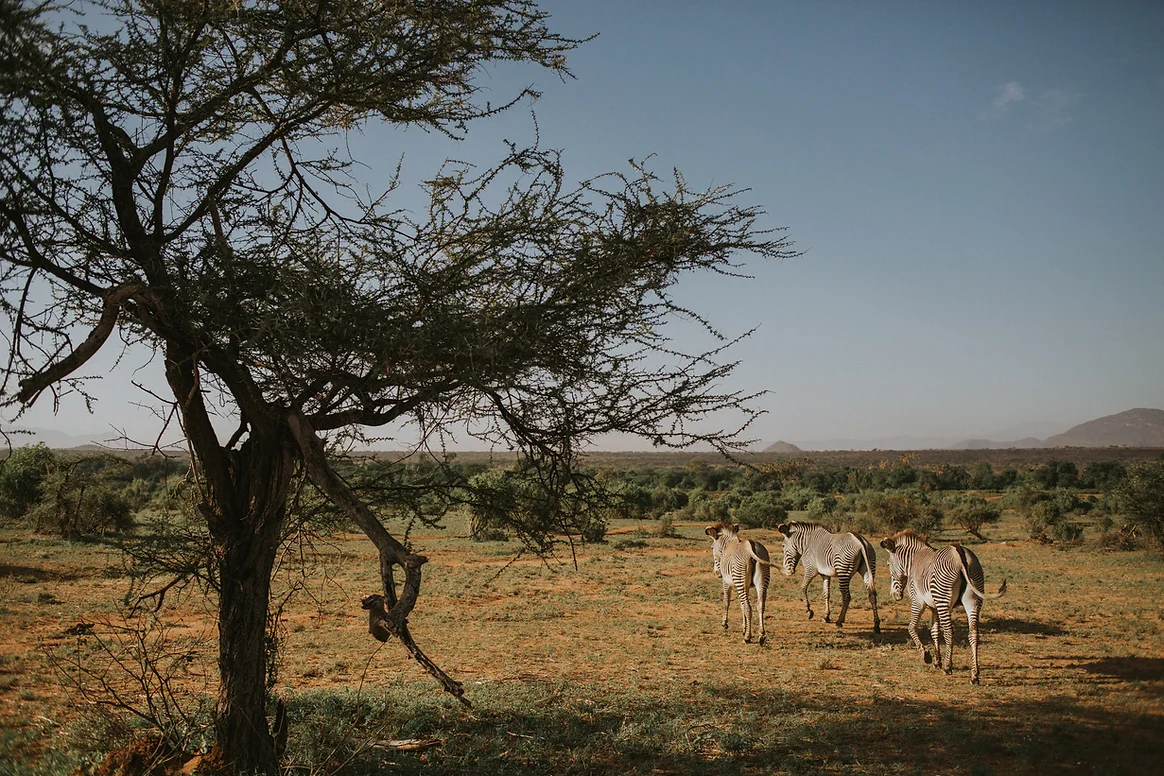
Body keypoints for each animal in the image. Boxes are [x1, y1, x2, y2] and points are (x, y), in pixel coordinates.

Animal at [875, 528, 1005, 684]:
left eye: (888, 565)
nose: (894, 595)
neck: (913, 560)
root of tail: (959, 551)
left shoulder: (918, 601)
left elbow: (911, 627)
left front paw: (926, 655)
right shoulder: (934, 607)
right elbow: (934, 631)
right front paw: (937, 661)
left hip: (943, 598)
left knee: (949, 632)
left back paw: (948, 667)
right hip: (973, 599)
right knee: (973, 633)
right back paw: (974, 675)